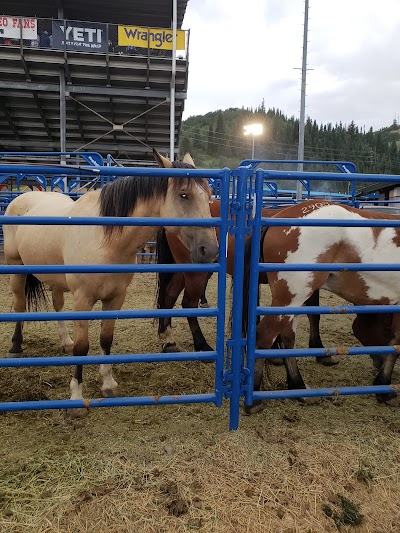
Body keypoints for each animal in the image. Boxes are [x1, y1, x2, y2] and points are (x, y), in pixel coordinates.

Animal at [3, 150, 217, 416]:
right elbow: (82, 347)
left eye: (209, 196)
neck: (106, 240)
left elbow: (106, 339)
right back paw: (16, 347)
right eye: (183, 195)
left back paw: (65, 342)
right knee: (20, 305)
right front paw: (76, 399)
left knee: (57, 305)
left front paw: (108, 384)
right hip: (16, 269)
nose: (209, 250)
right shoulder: (83, 300)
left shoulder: (115, 298)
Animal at [156, 200, 338, 366]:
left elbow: (313, 314)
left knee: (170, 295)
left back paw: (168, 340)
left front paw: (318, 349)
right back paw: (202, 345)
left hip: (184, 269)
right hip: (196, 274)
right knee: (189, 303)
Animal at [242, 200, 400, 412]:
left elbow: (395, 341)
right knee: (265, 336)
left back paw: (298, 386)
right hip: (290, 297)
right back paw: (254, 400)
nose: (378, 362)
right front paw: (385, 388)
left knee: (287, 337)